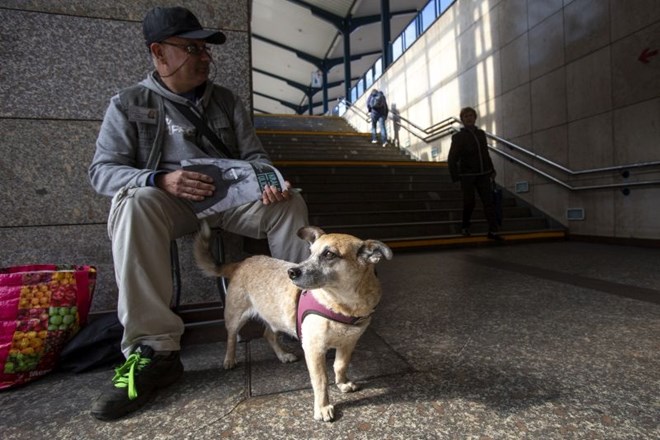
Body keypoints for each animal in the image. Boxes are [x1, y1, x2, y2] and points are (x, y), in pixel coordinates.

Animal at [195, 222, 392, 422]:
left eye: (329, 254)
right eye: (310, 252)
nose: (291, 272)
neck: (344, 304)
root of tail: (242, 262)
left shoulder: (348, 343)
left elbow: (340, 365)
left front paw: (342, 383)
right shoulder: (314, 349)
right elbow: (321, 381)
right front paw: (322, 407)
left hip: (276, 316)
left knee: (268, 334)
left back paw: (283, 355)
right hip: (236, 315)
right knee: (231, 336)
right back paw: (229, 359)